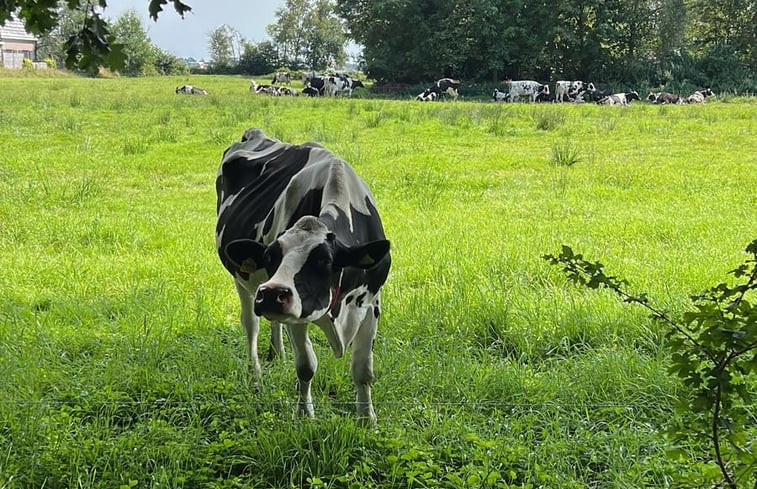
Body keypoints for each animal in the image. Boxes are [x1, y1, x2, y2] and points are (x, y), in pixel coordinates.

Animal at [213, 127, 390, 426]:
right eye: (270, 257)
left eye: (325, 260)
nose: (272, 294)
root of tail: (255, 133)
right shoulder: (297, 313)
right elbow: (306, 366)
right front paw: (305, 415)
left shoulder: (371, 304)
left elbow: (363, 369)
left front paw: (367, 420)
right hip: (243, 280)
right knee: (251, 324)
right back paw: (256, 377)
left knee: (273, 322)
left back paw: (278, 355)